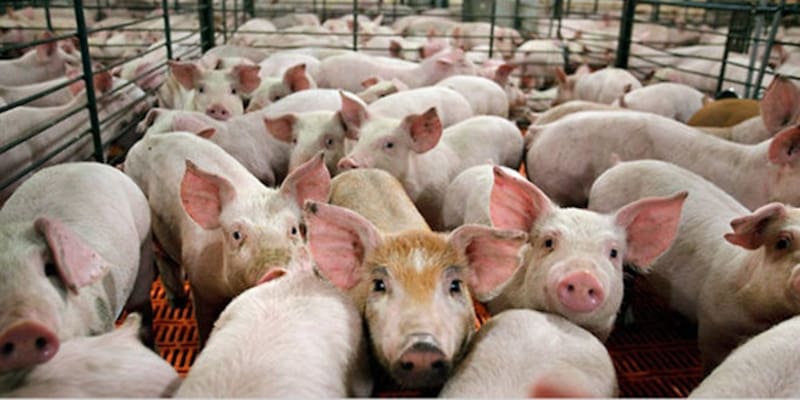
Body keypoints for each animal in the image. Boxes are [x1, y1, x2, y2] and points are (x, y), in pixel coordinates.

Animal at [123, 132, 330, 345]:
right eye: (236, 234)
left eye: (294, 230)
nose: (278, 271)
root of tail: (150, 138)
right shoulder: (200, 285)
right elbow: (204, 324)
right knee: (162, 258)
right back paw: (177, 304)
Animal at [337, 98, 524, 229]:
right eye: (359, 139)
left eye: (389, 144)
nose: (347, 161)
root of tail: (510, 123)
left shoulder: (437, 199)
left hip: (513, 159)